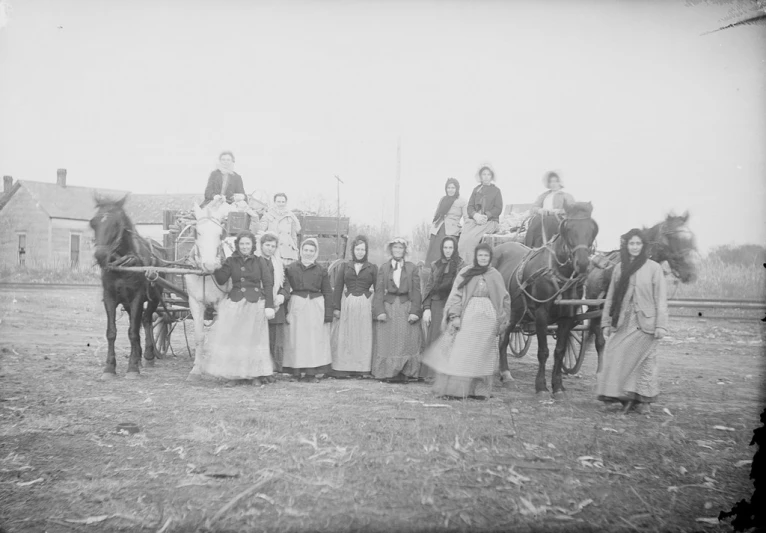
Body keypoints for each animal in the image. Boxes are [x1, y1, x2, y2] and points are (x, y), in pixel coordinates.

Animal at [91, 195, 167, 378]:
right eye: (93, 223)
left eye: (116, 224)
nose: (100, 256)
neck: (123, 265)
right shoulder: (110, 297)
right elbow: (111, 332)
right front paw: (109, 367)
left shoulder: (137, 297)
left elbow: (132, 331)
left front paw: (132, 367)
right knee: (141, 322)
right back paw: (139, 356)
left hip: (154, 297)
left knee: (146, 320)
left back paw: (148, 355)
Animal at [496, 202, 604, 396]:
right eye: (568, 228)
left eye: (593, 229)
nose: (583, 264)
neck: (558, 274)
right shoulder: (541, 314)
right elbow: (543, 351)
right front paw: (541, 386)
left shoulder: (567, 317)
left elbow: (559, 351)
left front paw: (558, 385)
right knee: (502, 337)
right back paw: (504, 372)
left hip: (514, 311)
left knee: (504, 337)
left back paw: (505, 373)